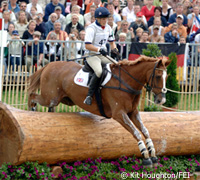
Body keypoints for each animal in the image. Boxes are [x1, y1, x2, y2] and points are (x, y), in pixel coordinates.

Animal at [27, 56, 170, 167]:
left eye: (166, 77)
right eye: (158, 76)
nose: (161, 100)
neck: (126, 82)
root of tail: (49, 65)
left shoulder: (133, 112)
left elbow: (145, 130)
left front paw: (153, 154)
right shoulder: (119, 114)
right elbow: (136, 132)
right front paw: (145, 157)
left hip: (65, 100)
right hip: (50, 98)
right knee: (32, 96)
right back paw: (30, 111)